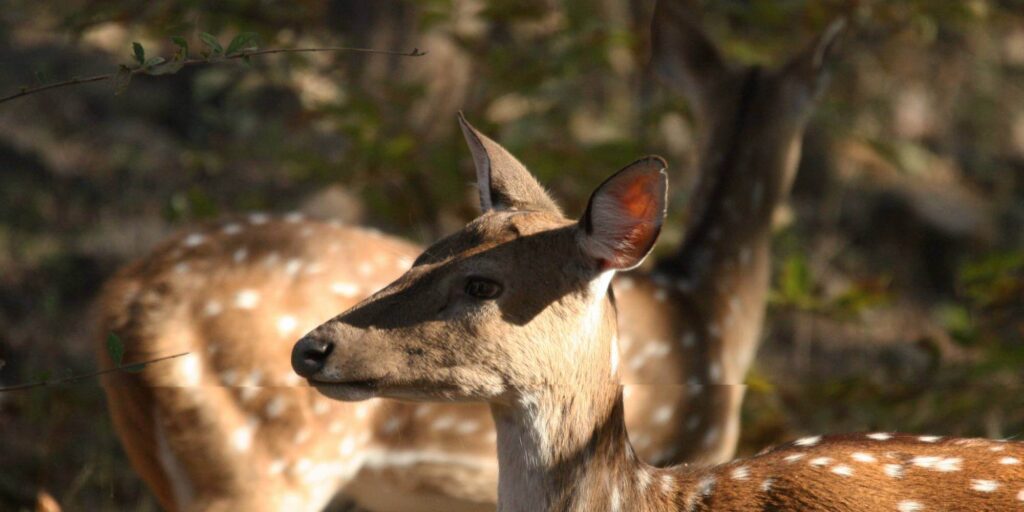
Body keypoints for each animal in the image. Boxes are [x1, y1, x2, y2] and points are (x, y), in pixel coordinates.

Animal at [96, 4, 843, 512]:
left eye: (472, 277)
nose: (311, 348)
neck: (713, 312)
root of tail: (126, 299)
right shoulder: (697, 440)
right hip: (266, 467)